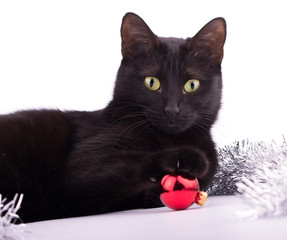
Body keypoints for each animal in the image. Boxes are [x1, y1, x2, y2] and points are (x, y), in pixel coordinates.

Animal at [0, 12, 227, 222]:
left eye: (192, 85)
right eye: (151, 82)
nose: (172, 109)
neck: (169, 140)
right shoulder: (82, 165)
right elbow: (130, 161)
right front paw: (183, 156)